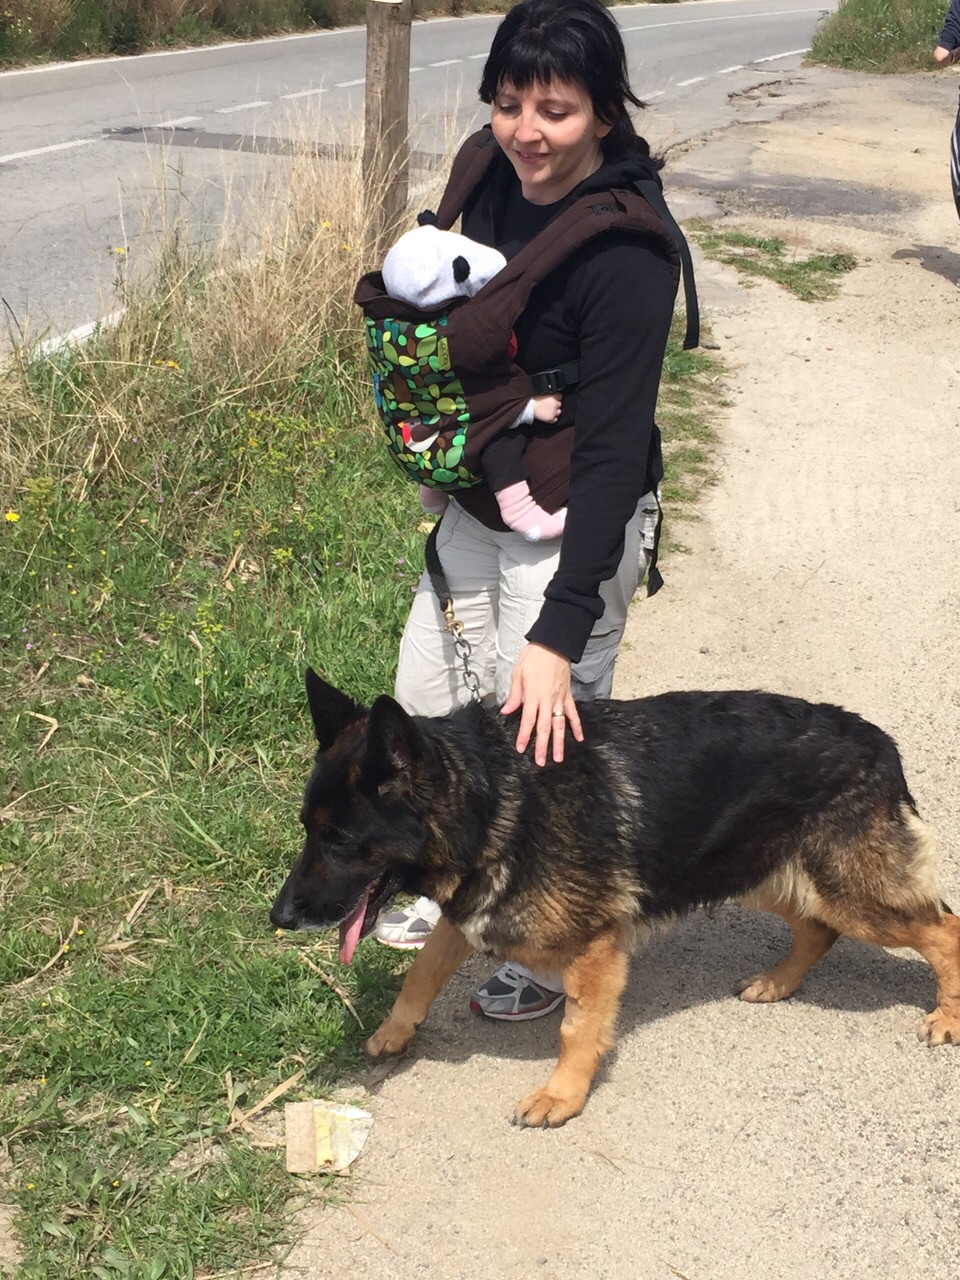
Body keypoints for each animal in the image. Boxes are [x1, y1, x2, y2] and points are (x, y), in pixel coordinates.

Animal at [271, 669, 960, 1127]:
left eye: (340, 839)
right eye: (308, 829)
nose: (278, 918)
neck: (494, 799)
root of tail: (877, 740)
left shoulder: (594, 948)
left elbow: (578, 1029)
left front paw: (562, 1096)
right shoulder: (470, 915)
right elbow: (421, 973)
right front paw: (395, 1031)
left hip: (848, 893)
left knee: (943, 931)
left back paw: (947, 1018)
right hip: (759, 874)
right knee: (818, 928)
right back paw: (778, 983)